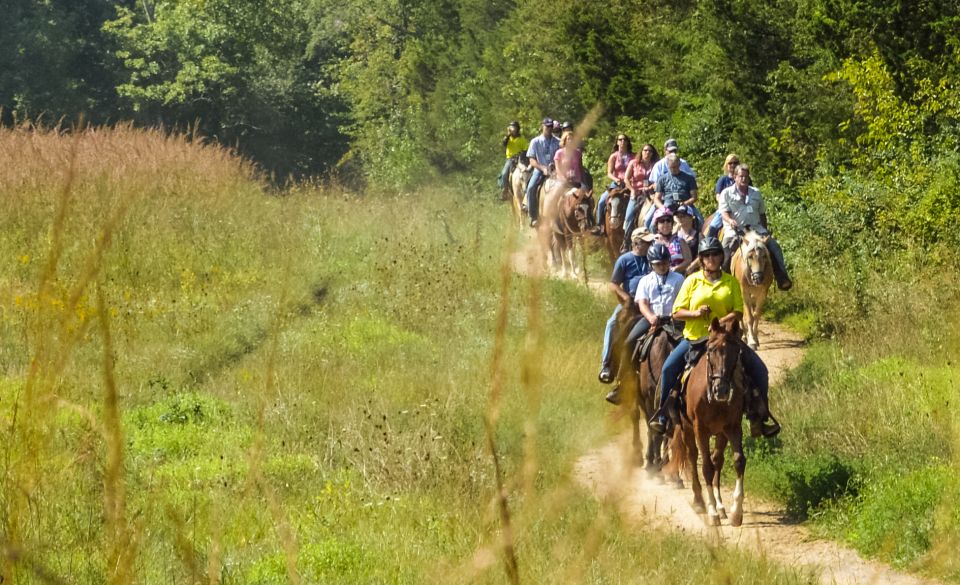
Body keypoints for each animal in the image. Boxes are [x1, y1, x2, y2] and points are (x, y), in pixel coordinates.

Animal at [668, 318, 752, 528]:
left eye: (736, 351)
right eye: (711, 350)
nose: (721, 389)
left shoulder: (733, 427)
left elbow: (738, 461)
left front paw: (736, 512)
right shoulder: (701, 430)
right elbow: (705, 467)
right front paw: (712, 512)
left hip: (720, 433)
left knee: (717, 461)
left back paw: (722, 507)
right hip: (688, 429)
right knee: (693, 457)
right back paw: (700, 502)